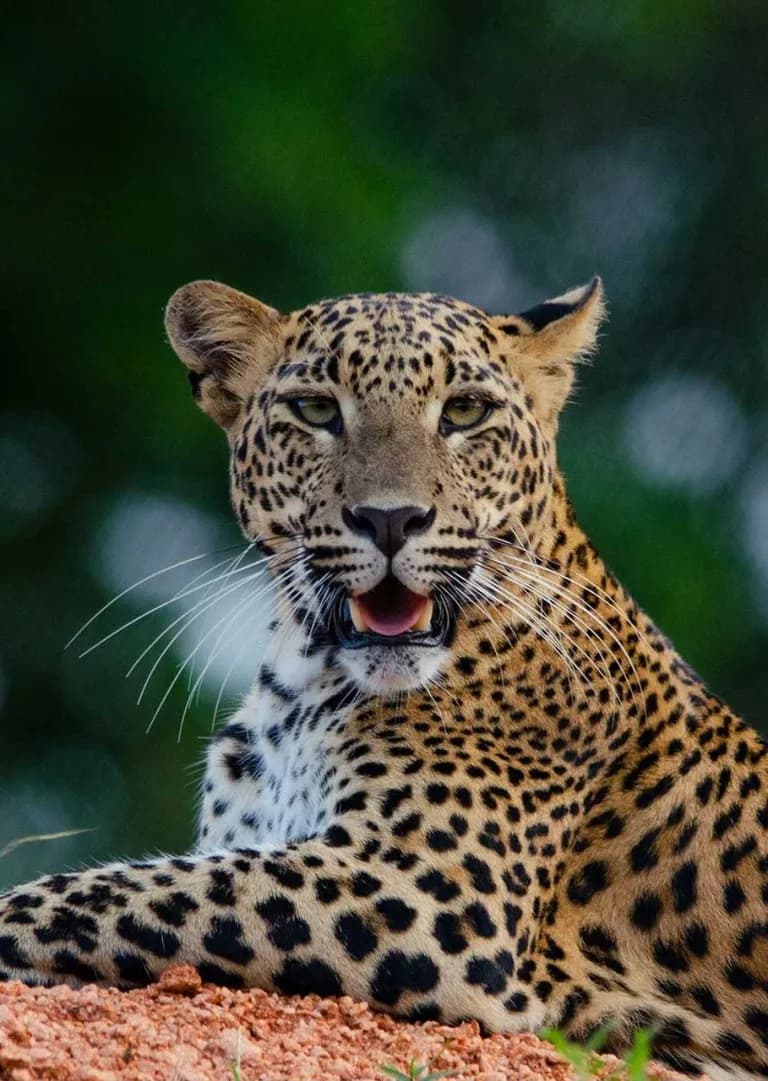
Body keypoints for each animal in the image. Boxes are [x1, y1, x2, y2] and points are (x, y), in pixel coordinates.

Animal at [1, 275, 766, 1081]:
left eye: (465, 410)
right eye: (315, 410)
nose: (392, 519)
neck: (302, 683)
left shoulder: (430, 893)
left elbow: (104, 893)